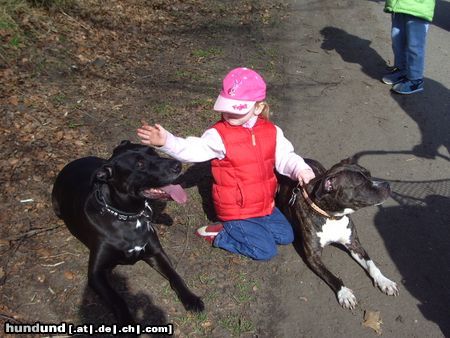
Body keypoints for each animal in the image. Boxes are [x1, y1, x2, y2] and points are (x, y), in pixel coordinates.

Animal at [52, 139, 204, 322]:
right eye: (139, 164)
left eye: (153, 152)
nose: (177, 164)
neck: (129, 217)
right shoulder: (96, 273)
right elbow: (117, 299)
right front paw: (127, 321)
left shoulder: (156, 253)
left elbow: (175, 275)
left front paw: (191, 298)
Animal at [276, 158, 400, 308]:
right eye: (360, 183)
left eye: (369, 175)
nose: (387, 184)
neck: (332, 216)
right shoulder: (313, 257)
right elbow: (331, 276)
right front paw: (344, 293)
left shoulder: (354, 244)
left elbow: (372, 265)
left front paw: (384, 281)